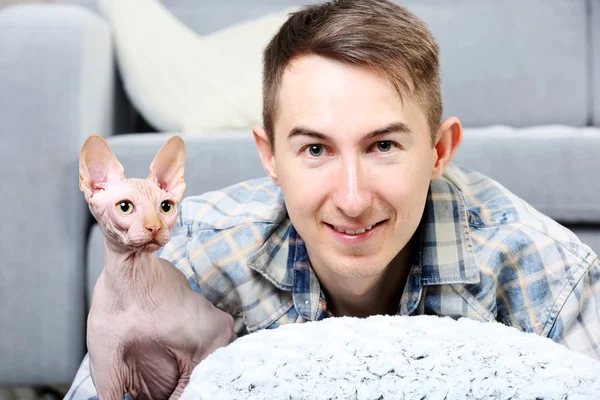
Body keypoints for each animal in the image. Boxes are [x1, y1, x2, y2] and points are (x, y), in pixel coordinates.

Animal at [75, 136, 234, 398]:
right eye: (125, 207)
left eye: (166, 206)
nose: (154, 227)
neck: (133, 282)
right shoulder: (107, 375)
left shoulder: (210, 342)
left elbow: (181, 392)